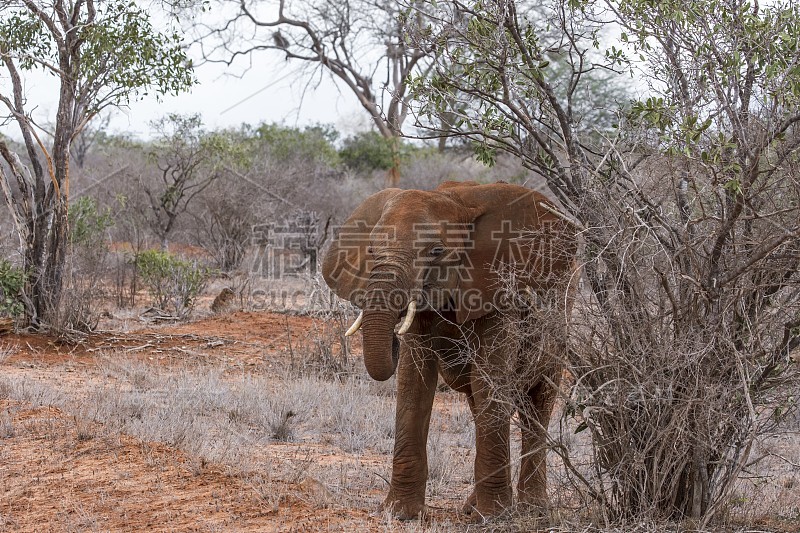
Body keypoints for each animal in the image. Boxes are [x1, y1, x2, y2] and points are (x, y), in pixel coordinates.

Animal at [318, 180, 576, 520]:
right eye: (371, 251)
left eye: (437, 251)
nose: (393, 338)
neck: (456, 201)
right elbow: (414, 381)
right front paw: (401, 514)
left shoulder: (497, 292)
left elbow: (489, 378)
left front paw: (493, 518)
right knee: (481, 405)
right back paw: (471, 508)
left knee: (537, 404)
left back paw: (532, 511)